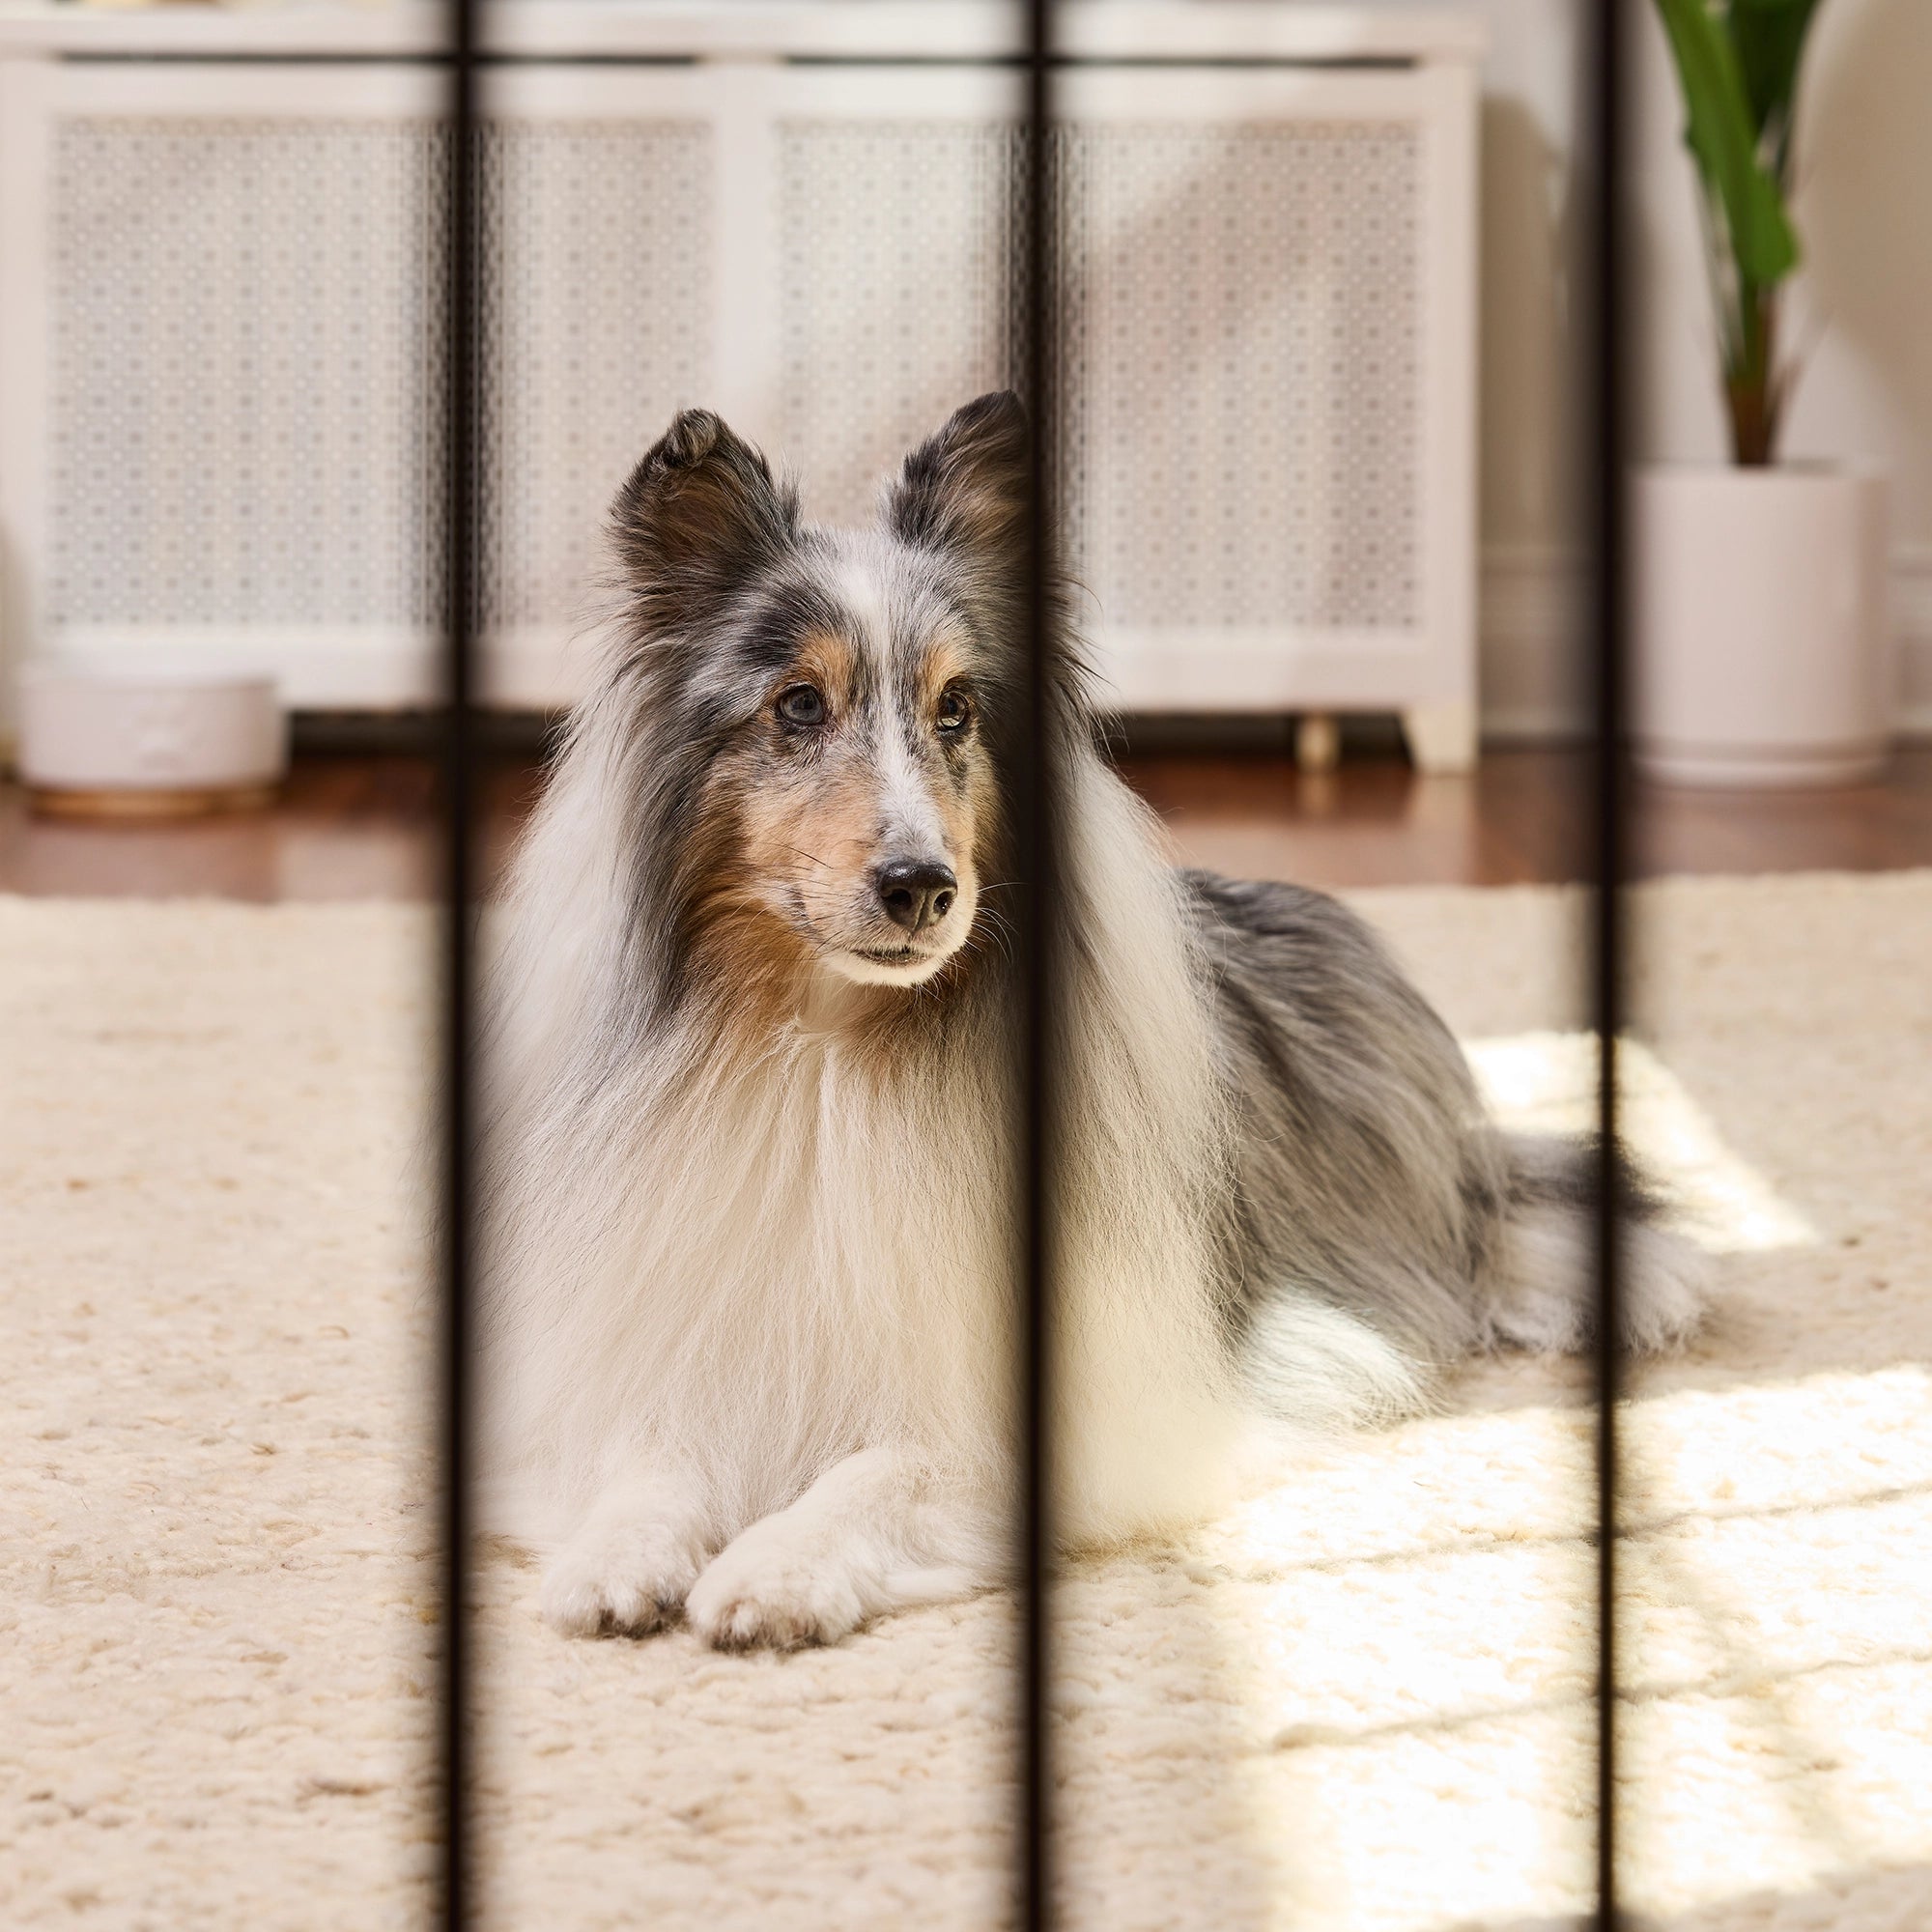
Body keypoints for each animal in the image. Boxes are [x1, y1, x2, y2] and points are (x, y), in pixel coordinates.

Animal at [479, 388, 1708, 1646]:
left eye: (958, 707)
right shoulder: (663, 1350)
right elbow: (648, 1454)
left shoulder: (1046, 1414)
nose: (922, 888)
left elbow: (879, 1471)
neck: (831, 1055)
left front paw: (771, 1571)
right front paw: (614, 1560)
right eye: (798, 705)